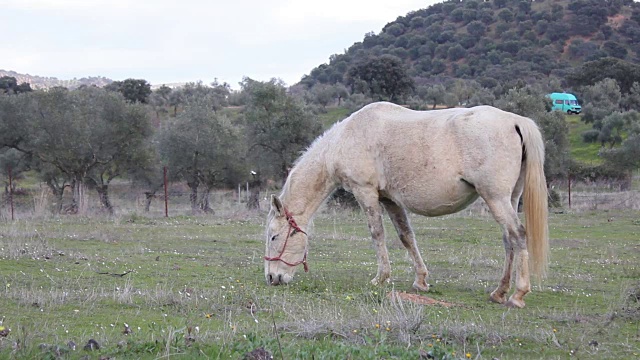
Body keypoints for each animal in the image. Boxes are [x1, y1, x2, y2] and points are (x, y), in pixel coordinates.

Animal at [262, 100, 548, 306]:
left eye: (274, 236)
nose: (272, 277)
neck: (346, 138)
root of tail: (515, 121)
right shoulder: (390, 199)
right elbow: (406, 236)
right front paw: (421, 281)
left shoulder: (365, 192)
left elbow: (377, 234)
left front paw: (381, 278)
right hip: (508, 198)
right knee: (508, 241)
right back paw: (499, 292)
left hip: (496, 198)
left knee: (518, 235)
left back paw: (518, 295)